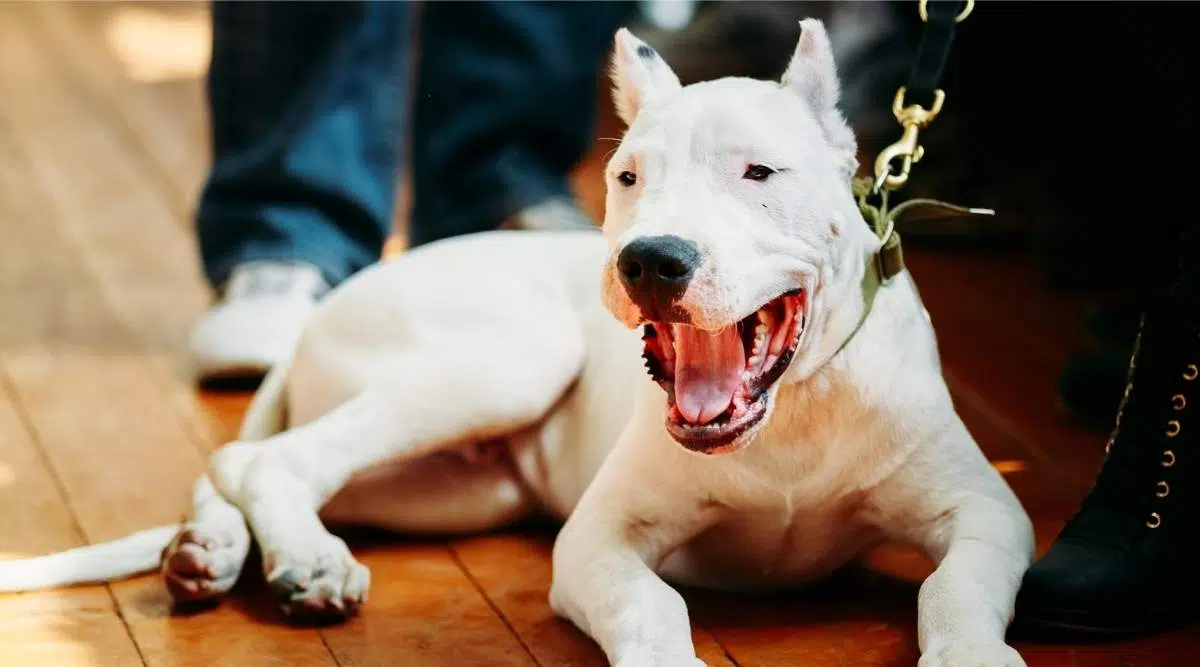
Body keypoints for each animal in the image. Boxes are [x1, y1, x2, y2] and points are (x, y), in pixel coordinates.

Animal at [0, 20, 1032, 667]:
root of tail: (324, 311)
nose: (651, 260)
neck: (793, 416)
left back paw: (207, 550)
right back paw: (305, 560)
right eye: (627, 177)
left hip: (452, 486)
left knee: (244, 462)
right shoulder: (599, 540)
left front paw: (976, 654)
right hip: (505, 362)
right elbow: (653, 605)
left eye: (759, 174)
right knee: (268, 458)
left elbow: (955, 590)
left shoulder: (988, 513)